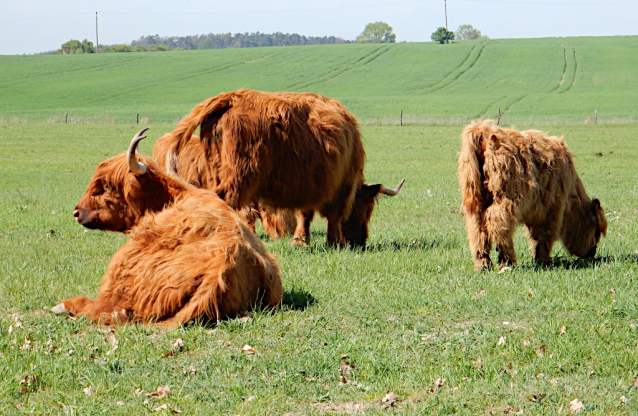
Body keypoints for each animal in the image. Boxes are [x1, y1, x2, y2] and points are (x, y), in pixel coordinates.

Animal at [460, 121, 608, 270]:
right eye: (596, 230)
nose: (592, 252)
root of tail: (482, 130)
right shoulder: (552, 208)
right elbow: (544, 236)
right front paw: (544, 261)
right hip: (507, 199)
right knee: (497, 224)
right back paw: (508, 261)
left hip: (476, 201)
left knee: (478, 230)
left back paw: (483, 264)